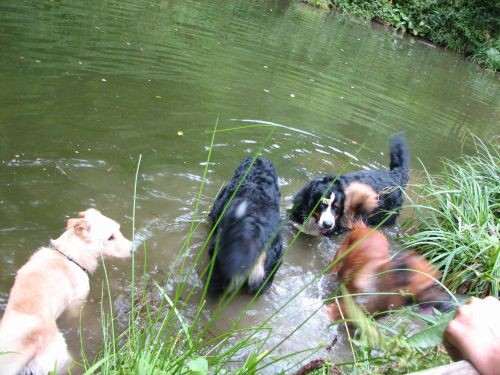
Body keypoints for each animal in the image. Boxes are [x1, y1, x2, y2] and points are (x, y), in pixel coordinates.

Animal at [0, 209, 133, 375]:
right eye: (110, 237)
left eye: (119, 230)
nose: (133, 248)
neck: (68, 256)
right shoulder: (77, 303)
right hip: (62, 359)